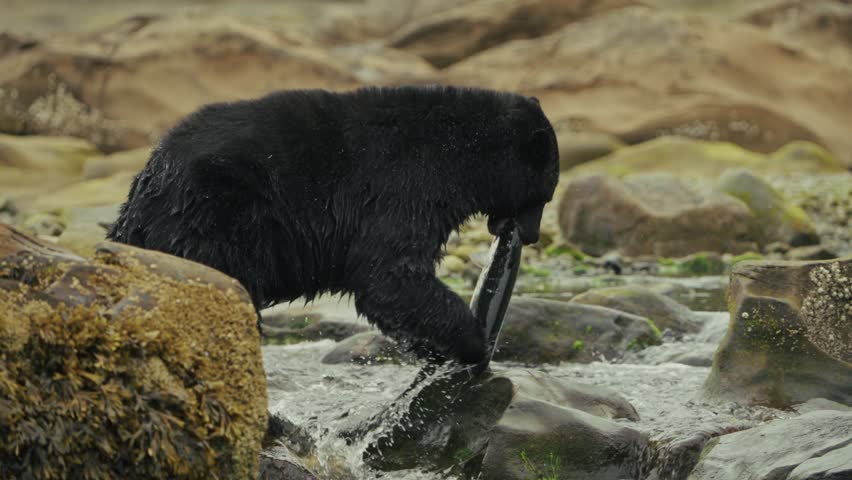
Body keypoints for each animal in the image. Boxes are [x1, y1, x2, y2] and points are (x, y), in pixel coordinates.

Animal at [107, 85, 559, 364]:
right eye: (546, 192)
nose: (532, 234)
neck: (459, 152)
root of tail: (146, 183)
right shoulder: (403, 186)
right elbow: (389, 275)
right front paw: (474, 340)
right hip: (213, 219)